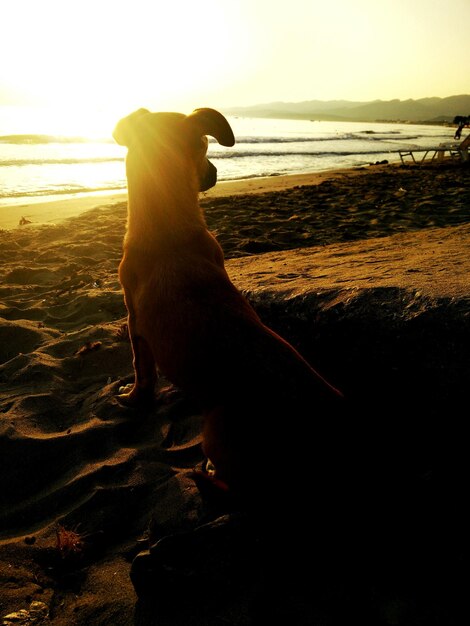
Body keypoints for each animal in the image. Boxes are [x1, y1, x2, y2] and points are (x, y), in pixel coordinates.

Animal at [113, 107, 346, 508]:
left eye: (206, 144)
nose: (215, 174)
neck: (169, 226)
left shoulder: (135, 326)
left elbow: (142, 373)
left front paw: (132, 398)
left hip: (215, 430)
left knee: (238, 491)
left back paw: (207, 477)